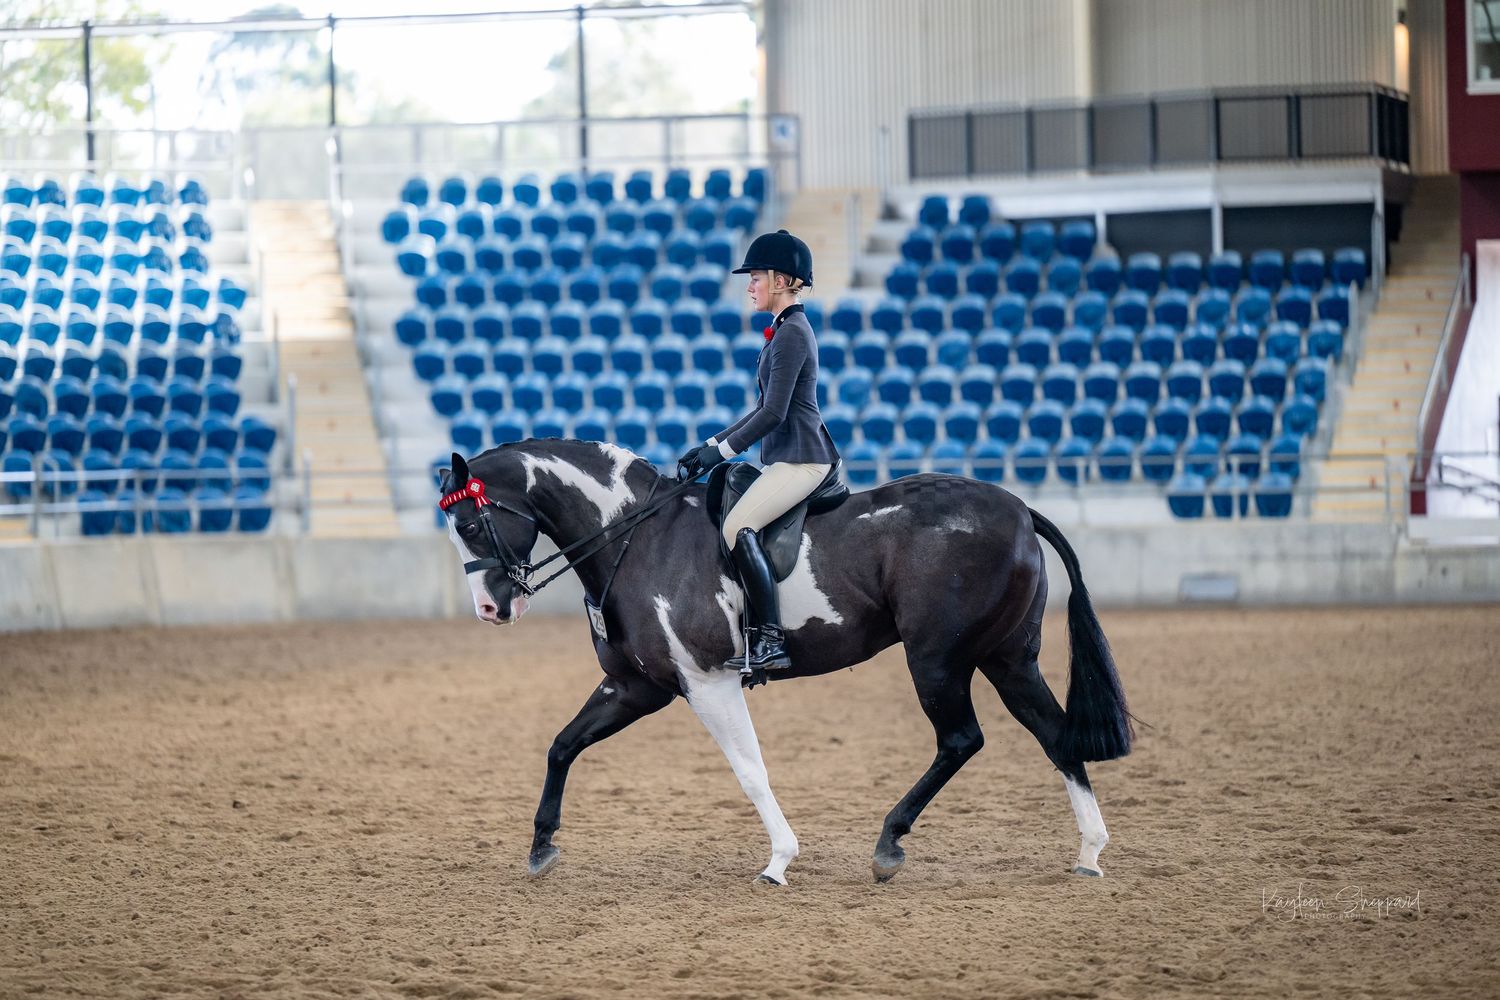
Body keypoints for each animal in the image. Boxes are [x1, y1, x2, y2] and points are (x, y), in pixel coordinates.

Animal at [439, 438, 1132, 886]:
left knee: (962, 738)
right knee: (1055, 734)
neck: (634, 536)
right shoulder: (636, 685)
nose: (490, 609)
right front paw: (540, 847)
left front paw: (779, 861)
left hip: (938, 658)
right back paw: (1090, 853)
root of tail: (1019, 508)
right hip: (1007, 657)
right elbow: (563, 745)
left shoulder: (708, 683)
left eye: (471, 525)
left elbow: (750, 772)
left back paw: (889, 844)